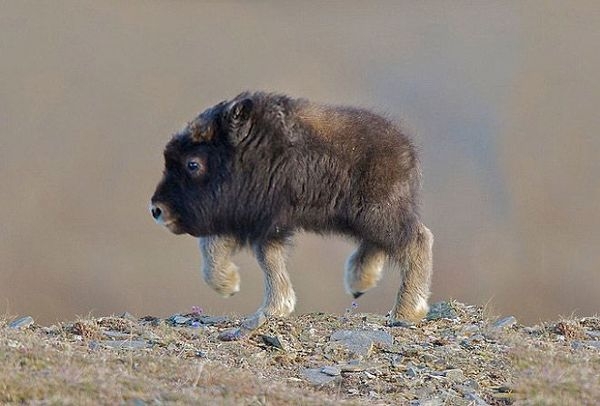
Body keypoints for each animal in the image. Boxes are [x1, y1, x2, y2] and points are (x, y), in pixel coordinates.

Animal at [150, 92, 432, 340]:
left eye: (193, 163)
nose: (157, 209)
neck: (250, 151)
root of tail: (406, 150)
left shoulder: (261, 220)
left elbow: (263, 259)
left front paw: (267, 305)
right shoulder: (249, 219)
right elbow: (220, 248)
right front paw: (231, 286)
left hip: (378, 214)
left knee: (417, 240)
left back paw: (406, 311)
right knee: (379, 244)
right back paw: (359, 282)